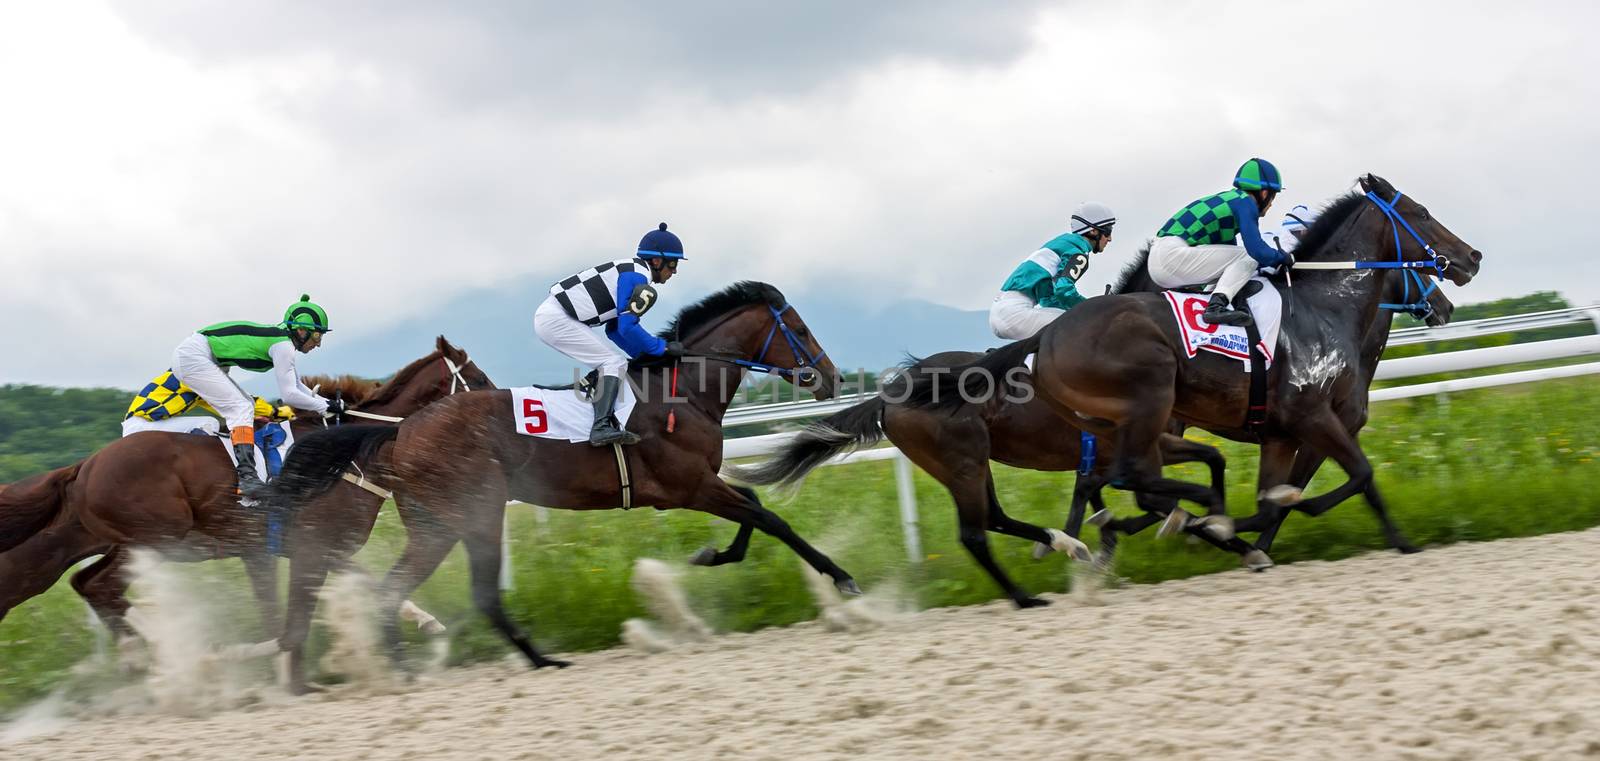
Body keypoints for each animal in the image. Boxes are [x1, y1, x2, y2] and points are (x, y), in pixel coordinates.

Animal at [0, 335, 489, 639]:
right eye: (480, 380)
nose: (497, 413)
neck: (345, 452)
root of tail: (85, 465)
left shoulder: (302, 548)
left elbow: (359, 587)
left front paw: (428, 623)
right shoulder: (310, 544)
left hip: (79, 546)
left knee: (69, 583)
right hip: (156, 536)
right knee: (98, 586)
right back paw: (153, 651)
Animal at [732, 222, 1459, 604]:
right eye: (1421, 263)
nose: (1448, 298)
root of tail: (893, 392)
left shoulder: (1152, 440)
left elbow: (1138, 491)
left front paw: (1154, 533)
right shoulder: (1147, 439)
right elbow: (1146, 490)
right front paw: (1189, 529)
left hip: (970, 461)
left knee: (994, 517)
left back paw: (1066, 546)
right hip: (961, 458)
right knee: (976, 530)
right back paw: (1034, 585)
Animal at [902, 175, 1484, 549]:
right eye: (1421, 214)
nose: (1471, 260)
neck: (1325, 305)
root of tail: (1044, 339)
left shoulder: (1285, 431)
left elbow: (1280, 496)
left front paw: (1248, 534)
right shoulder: (1313, 417)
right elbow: (1358, 474)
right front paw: (1399, 542)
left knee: (1117, 484)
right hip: (1144, 404)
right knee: (1127, 480)